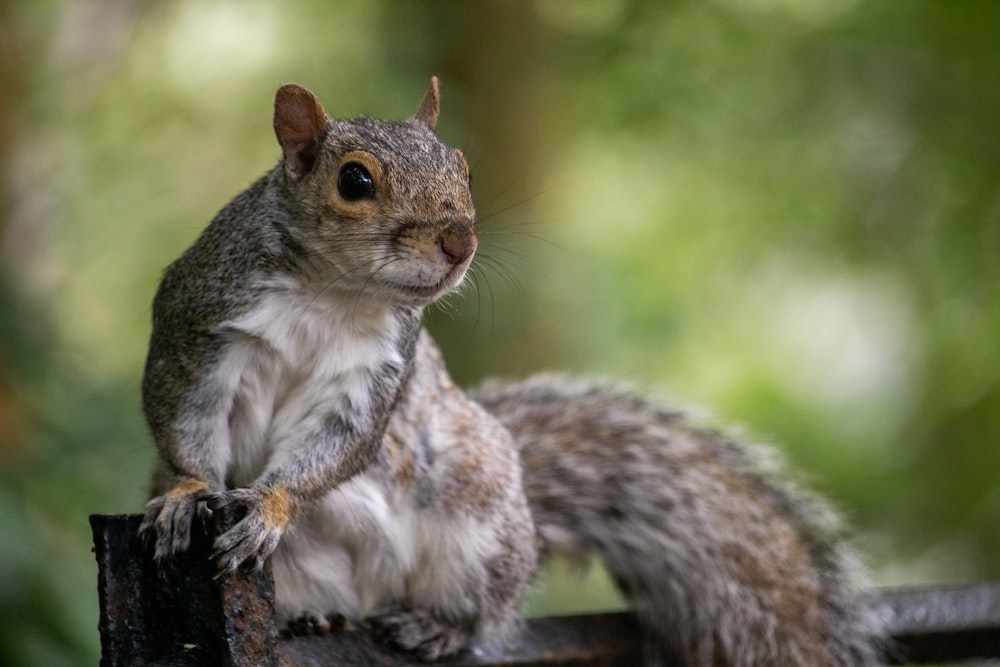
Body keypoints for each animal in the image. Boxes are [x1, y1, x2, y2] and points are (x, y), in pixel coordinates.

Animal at [139, 79, 884, 667]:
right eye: (355, 180)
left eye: (464, 170)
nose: (460, 240)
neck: (333, 292)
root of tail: (372, 592)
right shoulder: (199, 326)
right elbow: (181, 418)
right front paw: (188, 492)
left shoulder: (377, 374)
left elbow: (341, 447)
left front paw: (270, 504)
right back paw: (310, 617)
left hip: (481, 522)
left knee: (484, 615)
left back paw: (435, 626)